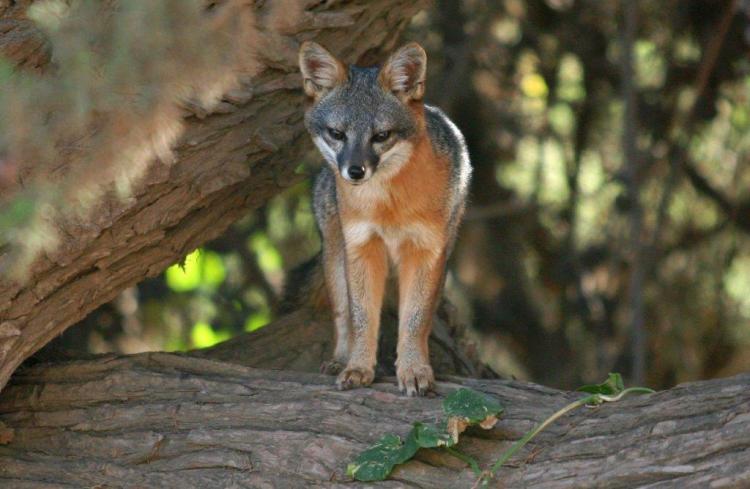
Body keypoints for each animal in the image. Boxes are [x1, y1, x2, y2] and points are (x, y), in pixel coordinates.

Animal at [298, 41, 471, 396]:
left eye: (381, 136)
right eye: (337, 133)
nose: (354, 171)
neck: (389, 206)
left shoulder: (427, 251)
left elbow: (415, 320)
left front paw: (414, 369)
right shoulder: (363, 248)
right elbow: (362, 318)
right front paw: (358, 367)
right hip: (337, 259)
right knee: (343, 316)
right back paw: (341, 358)